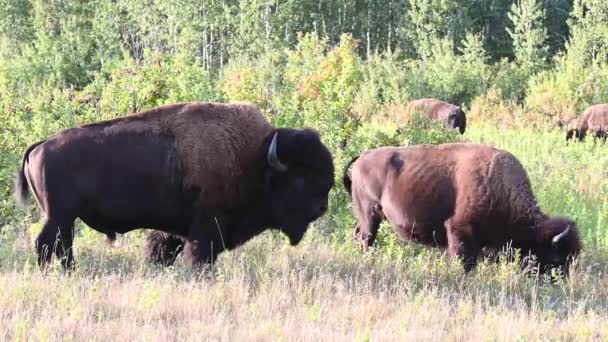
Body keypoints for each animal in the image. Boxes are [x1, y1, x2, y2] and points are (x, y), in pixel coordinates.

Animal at [15, 101, 338, 270]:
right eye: (300, 177)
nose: (321, 207)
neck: (255, 159)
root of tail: (42, 144)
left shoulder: (175, 231)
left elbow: (162, 250)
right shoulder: (207, 229)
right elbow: (198, 257)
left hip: (65, 219)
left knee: (62, 246)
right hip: (60, 216)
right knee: (47, 244)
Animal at [344, 143, 580, 274]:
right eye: (557, 258)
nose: (559, 282)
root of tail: (360, 158)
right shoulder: (459, 231)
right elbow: (462, 260)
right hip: (369, 215)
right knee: (365, 239)